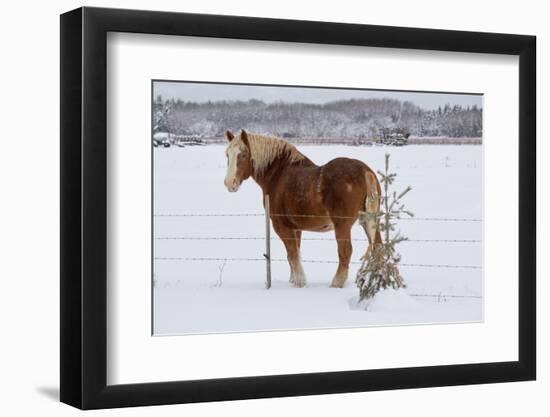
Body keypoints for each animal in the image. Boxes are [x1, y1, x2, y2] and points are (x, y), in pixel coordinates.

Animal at [222, 129, 382, 286]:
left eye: (243, 154)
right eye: (227, 155)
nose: (230, 183)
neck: (278, 175)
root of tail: (365, 171)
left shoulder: (282, 227)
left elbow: (292, 254)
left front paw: (300, 282)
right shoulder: (296, 228)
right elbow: (295, 254)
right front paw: (293, 280)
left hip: (342, 225)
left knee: (345, 251)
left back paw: (336, 283)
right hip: (370, 221)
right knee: (377, 246)